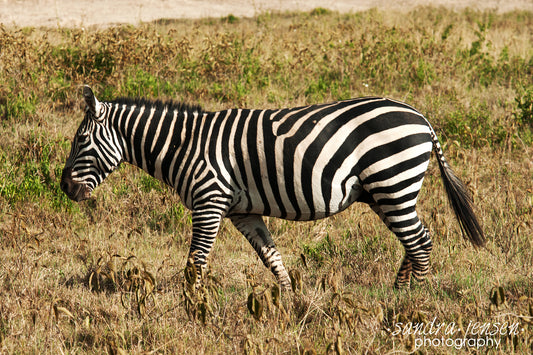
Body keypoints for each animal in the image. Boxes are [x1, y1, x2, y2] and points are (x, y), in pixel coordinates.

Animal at [60, 87, 484, 292]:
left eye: (81, 140)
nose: (64, 188)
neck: (185, 145)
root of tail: (422, 119)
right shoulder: (242, 210)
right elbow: (270, 255)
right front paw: (289, 300)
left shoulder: (209, 201)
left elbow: (196, 261)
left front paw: (191, 308)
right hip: (385, 192)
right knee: (412, 241)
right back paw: (398, 292)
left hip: (392, 181)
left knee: (421, 241)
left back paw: (412, 303)